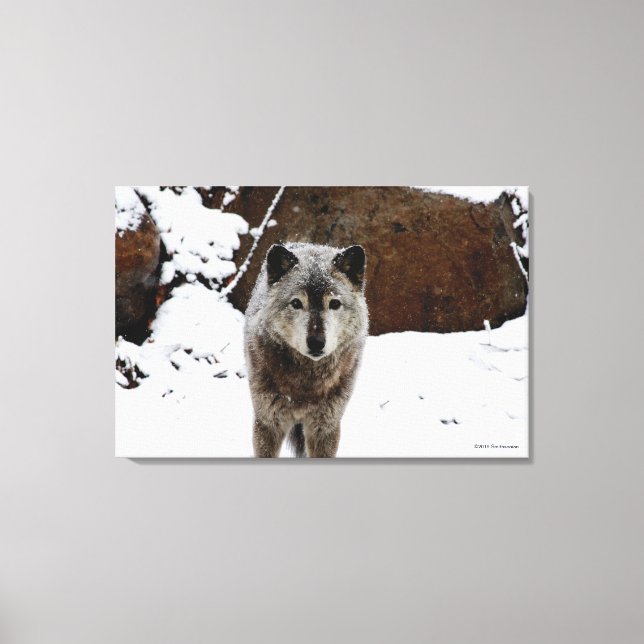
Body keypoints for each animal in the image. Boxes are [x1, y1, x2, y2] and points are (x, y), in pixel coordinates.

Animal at [244, 242, 368, 457]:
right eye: (296, 303)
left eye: (334, 303)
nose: (316, 342)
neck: (306, 384)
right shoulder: (268, 423)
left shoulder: (325, 428)